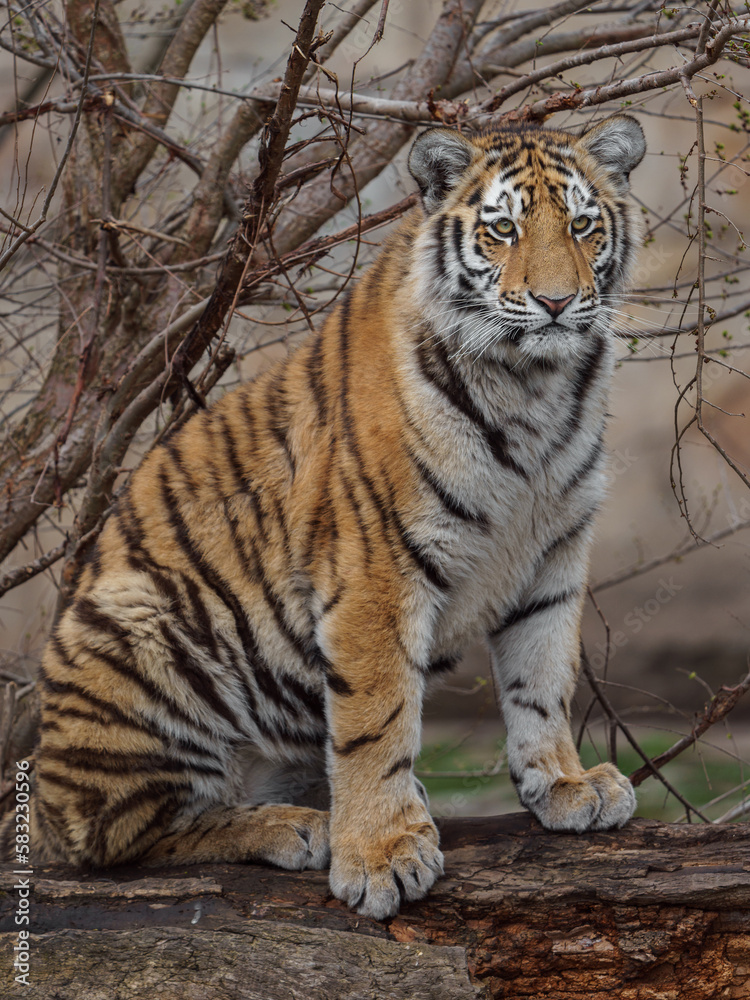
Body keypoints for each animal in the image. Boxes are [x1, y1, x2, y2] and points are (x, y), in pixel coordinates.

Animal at [1, 114, 646, 920]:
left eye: (584, 226)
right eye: (503, 229)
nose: (558, 303)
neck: (538, 388)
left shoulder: (553, 552)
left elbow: (543, 679)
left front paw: (565, 784)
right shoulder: (378, 565)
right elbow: (377, 720)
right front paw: (379, 856)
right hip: (136, 628)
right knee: (119, 836)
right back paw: (294, 827)